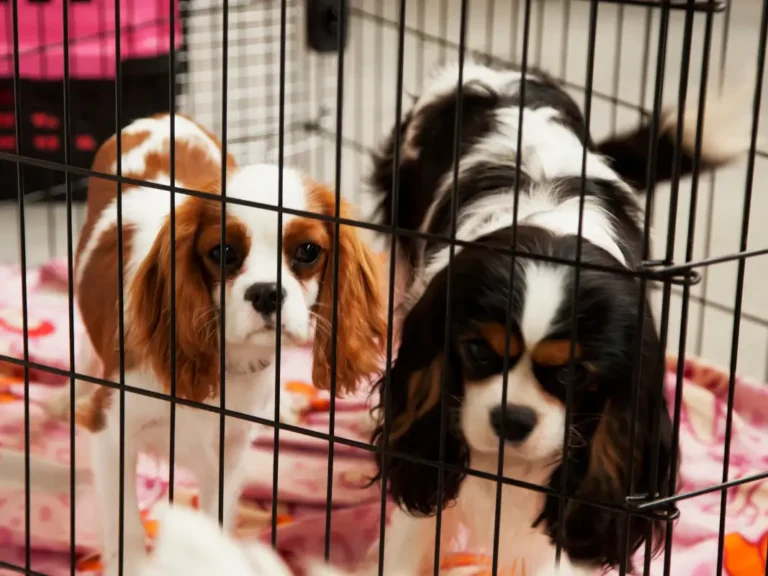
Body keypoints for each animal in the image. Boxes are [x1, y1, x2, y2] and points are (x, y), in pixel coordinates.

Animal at [48, 113, 385, 576]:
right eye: (222, 252)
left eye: (308, 251)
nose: (266, 293)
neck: (226, 361)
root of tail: (161, 117)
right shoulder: (112, 431)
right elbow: (126, 524)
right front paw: (132, 563)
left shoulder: (229, 452)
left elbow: (215, 521)